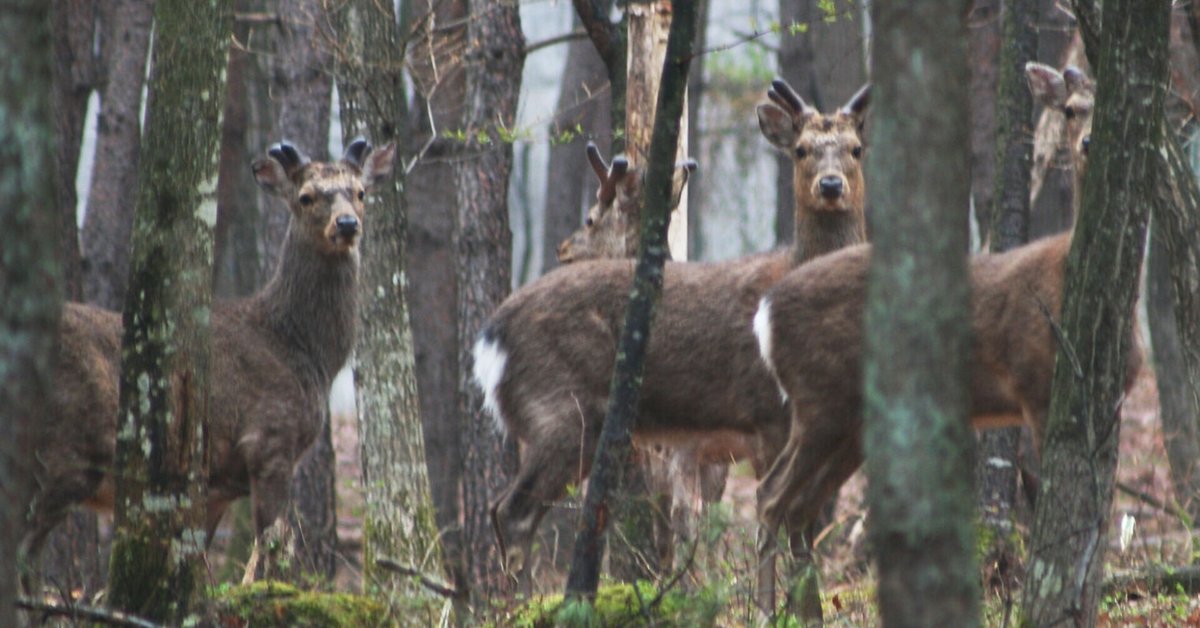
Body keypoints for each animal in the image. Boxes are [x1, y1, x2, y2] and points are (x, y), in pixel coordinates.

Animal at [19, 137, 393, 585]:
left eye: (361, 192)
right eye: (305, 197)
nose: (347, 224)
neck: (303, 352)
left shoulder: (217, 488)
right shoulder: (269, 439)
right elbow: (272, 545)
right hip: (66, 450)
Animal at [470, 78, 873, 585]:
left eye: (856, 148)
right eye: (801, 150)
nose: (831, 184)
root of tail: (489, 340)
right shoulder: (769, 416)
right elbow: (777, 519)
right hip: (558, 411)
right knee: (513, 512)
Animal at [753, 62, 1137, 609]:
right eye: (1070, 109)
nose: (1088, 142)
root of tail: (765, 312)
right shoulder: (1037, 383)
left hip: (846, 419)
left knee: (795, 505)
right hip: (819, 401)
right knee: (771, 498)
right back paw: (766, 611)